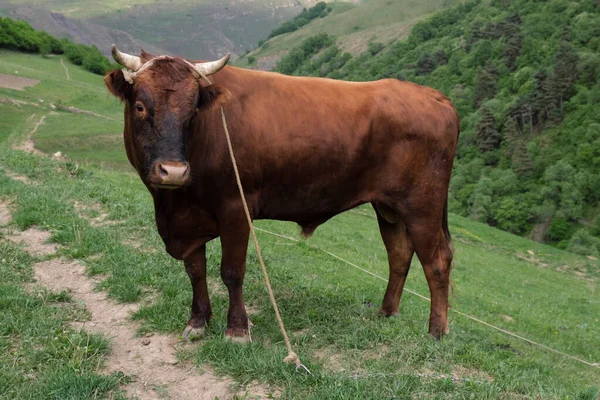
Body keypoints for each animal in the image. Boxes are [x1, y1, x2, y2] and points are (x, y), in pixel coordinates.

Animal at [104, 46, 460, 340]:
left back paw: (436, 331)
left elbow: (232, 271)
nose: (174, 170)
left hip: (423, 206)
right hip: (389, 207)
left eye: (192, 113)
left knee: (437, 261)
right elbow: (196, 270)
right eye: (140, 106)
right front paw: (198, 322)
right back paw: (386, 313)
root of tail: (434, 96)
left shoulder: (236, 207)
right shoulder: (187, 219)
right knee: (399, 254)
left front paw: (237, 330)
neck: (173, 204)